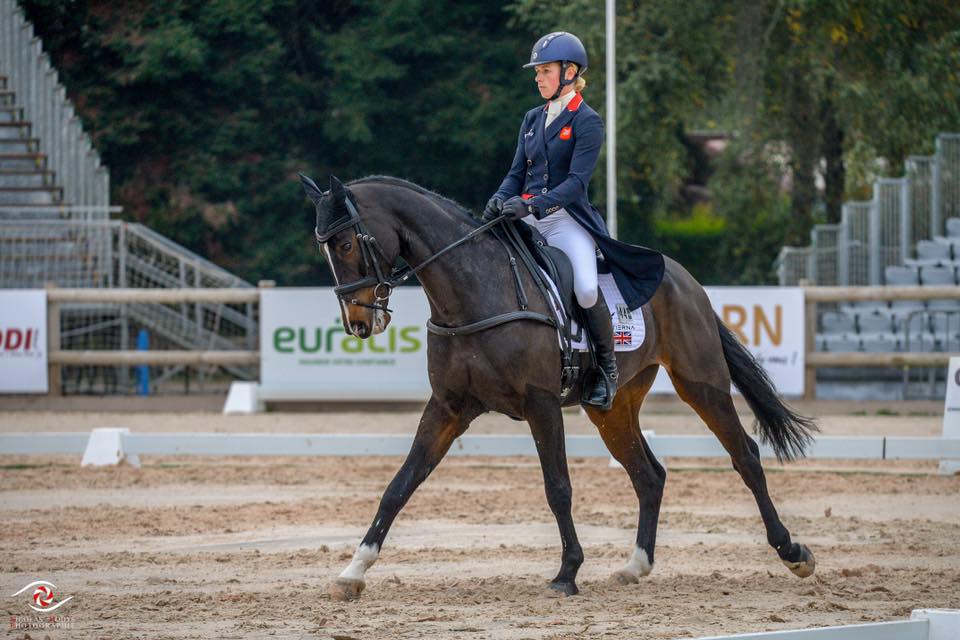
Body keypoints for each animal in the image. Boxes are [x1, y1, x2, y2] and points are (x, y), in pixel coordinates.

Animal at [300, 171, 816, 600]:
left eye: (345, 245)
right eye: (323, 248)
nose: (358, 323)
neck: (473, 292)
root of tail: (686, 281)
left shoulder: (541, 403)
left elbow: (558, 487)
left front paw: (567, 573)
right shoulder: (448, 406)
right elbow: (401, 484)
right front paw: (352, 572)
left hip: (701, 382)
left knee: (745, 455)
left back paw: (793, 553)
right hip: (612, 407)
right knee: (648, 474)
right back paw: (635, 566)